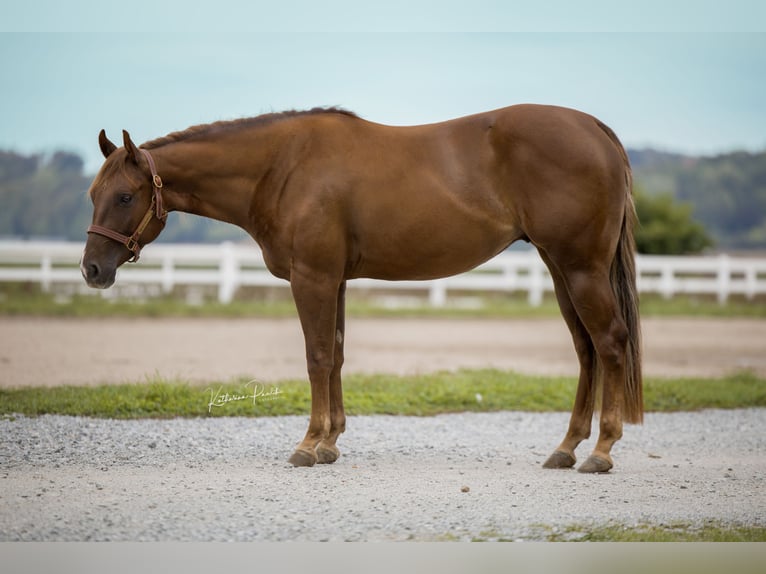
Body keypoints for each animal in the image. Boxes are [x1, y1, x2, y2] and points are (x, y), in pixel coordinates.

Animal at [81, 104, 642, 473]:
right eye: (92, 193)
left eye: (125, 196)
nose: (91, 270)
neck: (282, 165)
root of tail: (594, 129)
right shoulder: (336, 281)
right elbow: (337, 355)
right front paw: (330, 442)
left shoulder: (313, 277)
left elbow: (317, 357)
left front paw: (308, 445)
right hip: (560, 268)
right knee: (586, 349)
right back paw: (566, 448)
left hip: (580, 267)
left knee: (611, 342)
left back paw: (600, 451)